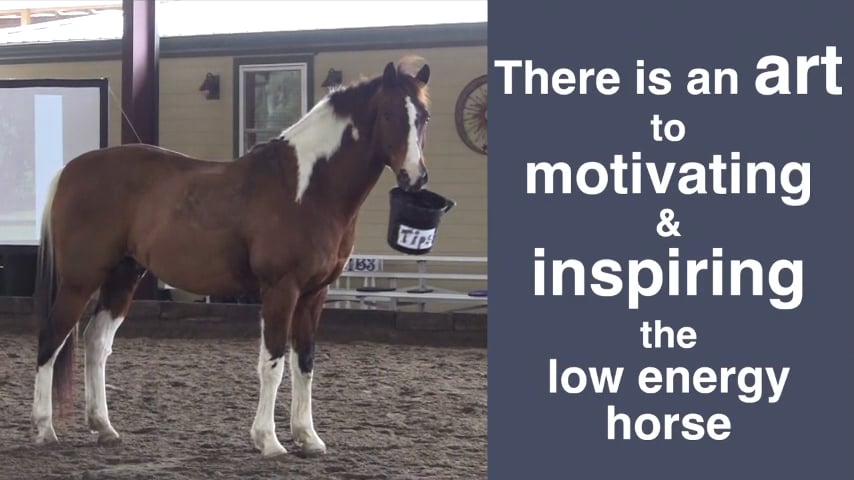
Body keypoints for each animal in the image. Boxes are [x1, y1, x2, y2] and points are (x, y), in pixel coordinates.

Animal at [31, 59, 432, 458]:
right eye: (388, 114)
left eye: (423, 116)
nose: (415, 177)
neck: (307, 189)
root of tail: (69, 170)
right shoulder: (280, 290)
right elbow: (273, 363)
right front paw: (269, 440)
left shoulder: (314, 294)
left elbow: (305, 362)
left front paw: (308, 437)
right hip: (80, 281)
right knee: (52, 337)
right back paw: (44, 429)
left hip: (123, 277)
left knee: (96, 343)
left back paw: (104, 428)